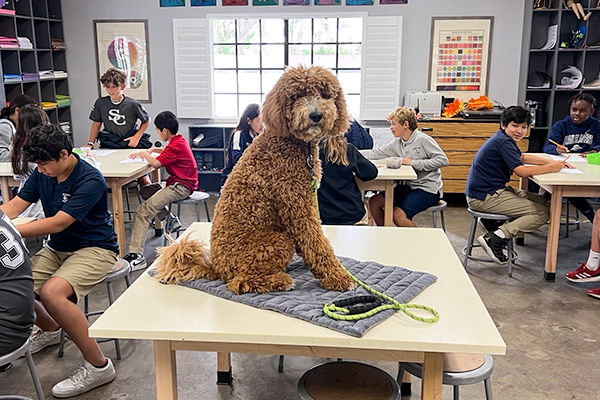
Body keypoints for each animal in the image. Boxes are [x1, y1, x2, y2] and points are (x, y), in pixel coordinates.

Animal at [155, 65, 358, 296]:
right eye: (297, 96)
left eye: (325, 94)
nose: (315, 115)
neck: (295, 144)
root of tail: (216, 267)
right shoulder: (296, 205)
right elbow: (316, 243)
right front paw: (338, 277)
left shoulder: (305, 200)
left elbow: (311, 242)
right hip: (275, 242)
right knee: (240, 282)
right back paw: (279, 280)